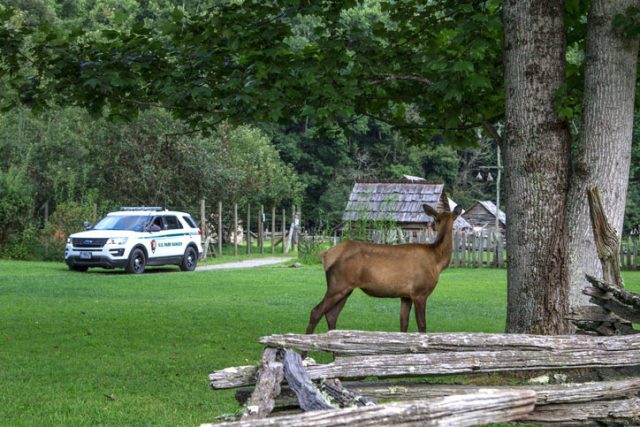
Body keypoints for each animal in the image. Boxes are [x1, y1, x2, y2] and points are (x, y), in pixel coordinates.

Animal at [304, 196, 460, 336]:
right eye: (436, 218)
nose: (433, 225)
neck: (437, 261)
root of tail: (326, 254)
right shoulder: (419, 292)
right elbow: (422, 326)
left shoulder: (406, 296)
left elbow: (403, 324)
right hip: (338, 284)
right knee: (316, 311)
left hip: (346, 288)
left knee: (331, 315)